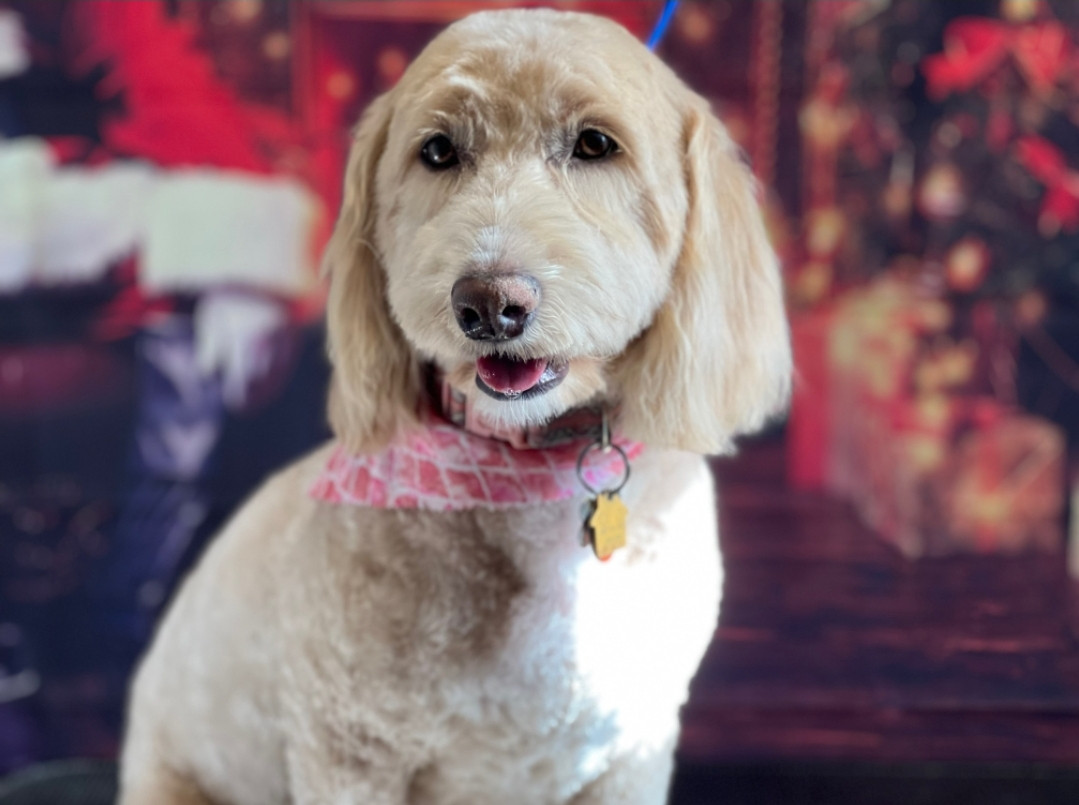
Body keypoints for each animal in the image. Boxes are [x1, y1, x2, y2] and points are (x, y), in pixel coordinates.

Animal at [119, 9, 790, 804]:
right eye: (438, 150)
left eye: (595, 143)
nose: (490, 304)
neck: (531, 471)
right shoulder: (351, 750)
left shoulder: (633, 750)